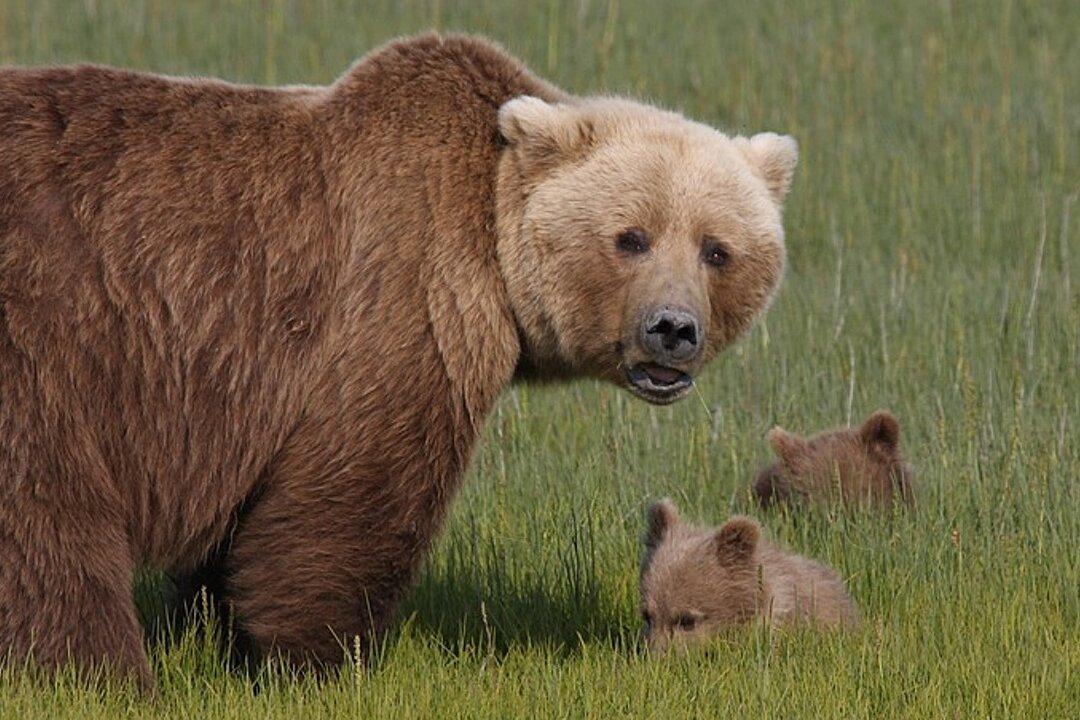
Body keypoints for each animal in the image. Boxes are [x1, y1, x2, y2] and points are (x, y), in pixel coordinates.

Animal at [0, 33, 797, 688]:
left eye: (717, 248)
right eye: (630, 236)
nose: (673, 330)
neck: (492, 244)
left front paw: (215, 628)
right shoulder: (402, 303)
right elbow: (352, 494)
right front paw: (317, 659)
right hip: (50, 334)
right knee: (45, 518)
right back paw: (98, 670)